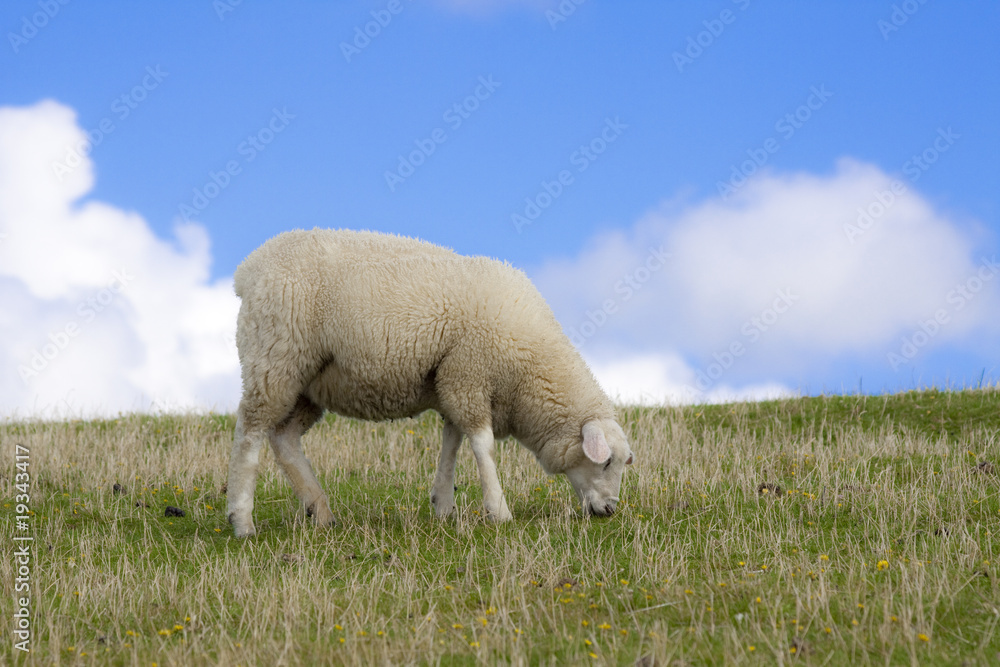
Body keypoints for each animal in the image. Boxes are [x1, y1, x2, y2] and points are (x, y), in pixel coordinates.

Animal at [226, 228, 633, 537]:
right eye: (606, 463)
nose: (610, 511)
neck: (529, 369)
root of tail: (249, 268)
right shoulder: (469, 374)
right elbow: (483, 445)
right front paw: (498, 509)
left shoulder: (451, 382)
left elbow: (451, 443)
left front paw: (443, 504)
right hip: (275, 358)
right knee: (250, 433)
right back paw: (242, 520)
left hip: (306, 380)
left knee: (284, 438)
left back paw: (319, 510)